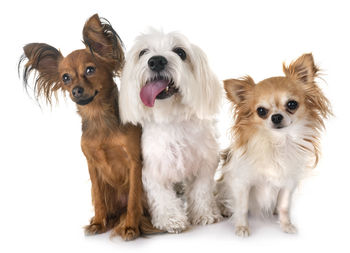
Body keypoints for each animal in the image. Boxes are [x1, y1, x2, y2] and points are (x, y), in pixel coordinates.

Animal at [17, 14, 157, 241]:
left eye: (90, 70)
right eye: (65, 78)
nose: (76, 90)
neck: (98, 117)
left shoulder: (134, 163)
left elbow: (133, 200)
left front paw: (130, 227)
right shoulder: (92, 166)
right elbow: (99, 199)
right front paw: (99, 223)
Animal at [119, 29, 221, 233]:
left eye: (181, 52)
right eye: (143, 52)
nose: (156, 61)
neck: (172, 119)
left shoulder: (205, 163)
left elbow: (201, 190)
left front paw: (204, 214)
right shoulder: (153, 169)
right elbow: (162, 195)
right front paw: (171, 219)